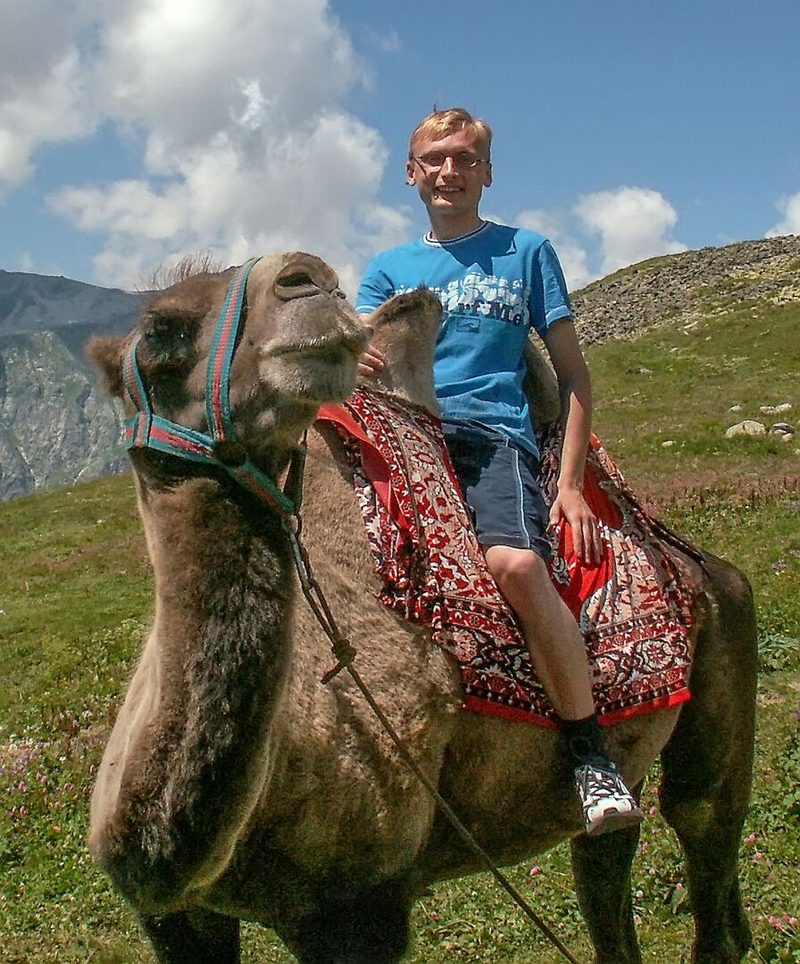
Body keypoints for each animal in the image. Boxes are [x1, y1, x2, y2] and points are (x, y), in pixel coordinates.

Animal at [87, 252, 757, 963]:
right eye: (160, 331)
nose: (305, 277)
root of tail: (696, 561)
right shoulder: (176, 916)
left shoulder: (359, 910)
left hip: (723, 656)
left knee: (701, 820)